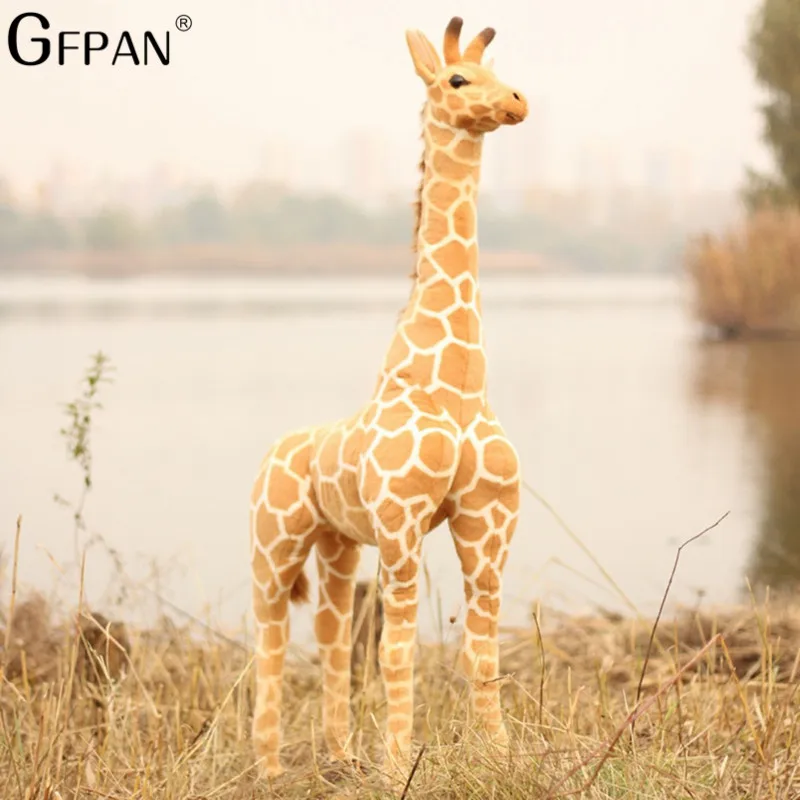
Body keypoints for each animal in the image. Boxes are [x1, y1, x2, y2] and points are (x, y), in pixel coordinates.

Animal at [249, 16, 528, 782]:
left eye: (503, 72)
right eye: (458, 79)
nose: (517, 103)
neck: (456, 384)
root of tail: (274, 450)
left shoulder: (489, 523)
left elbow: (482, 649)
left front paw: (501, 754)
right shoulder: (402, 525)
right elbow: (397, 652)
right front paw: (398, 764)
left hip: (337, 546)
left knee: (330, 635)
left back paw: (339, 755)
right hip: (272, 545)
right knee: (270, 643)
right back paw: (270, 769)